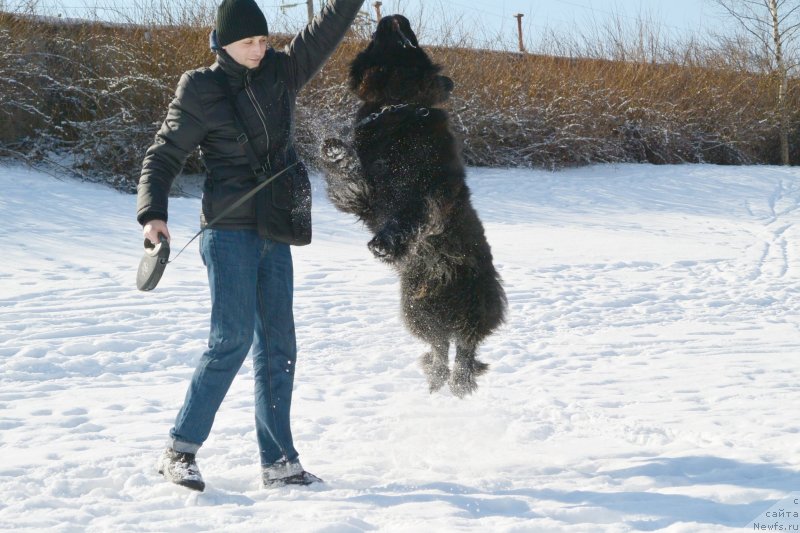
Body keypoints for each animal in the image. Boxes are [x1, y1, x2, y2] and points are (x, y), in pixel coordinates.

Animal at [318, 14, 506, 396]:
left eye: (413, 43)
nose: (394, 17)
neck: (397, 107)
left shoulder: (430, 192)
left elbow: (409, 214)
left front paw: (384, 244)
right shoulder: (365, 196)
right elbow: (348, 177)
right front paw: (334, 150)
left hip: (474, 306)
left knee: (465, 348)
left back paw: (460, 384)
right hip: (416, 311)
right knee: (439, 345)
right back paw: (437, 379)